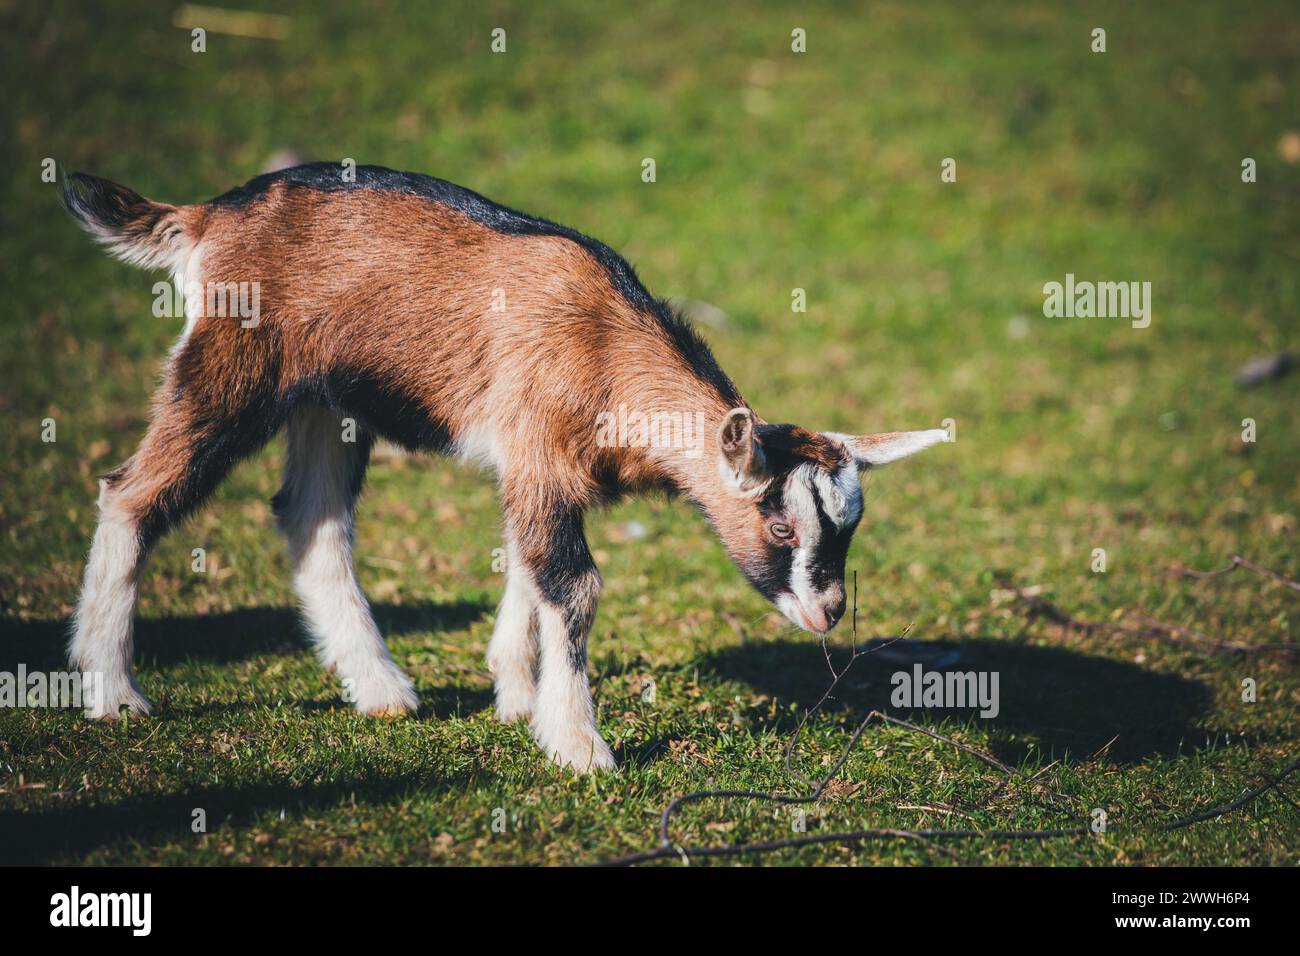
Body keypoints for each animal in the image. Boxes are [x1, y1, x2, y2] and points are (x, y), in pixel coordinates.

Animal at [62, 163, 945, 771]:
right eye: (780, 524)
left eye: (851, 528)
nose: (829, 612)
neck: (605, 346)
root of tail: (208, 215)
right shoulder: (540, 453)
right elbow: (574, 585)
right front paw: (579, 744)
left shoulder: (541, 473)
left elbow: (530, 566)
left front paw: (519, 699)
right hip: (232, 363)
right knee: (132, 493)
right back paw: (113, 692)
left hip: (325, 398)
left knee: (312, 521)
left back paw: (382, 692)